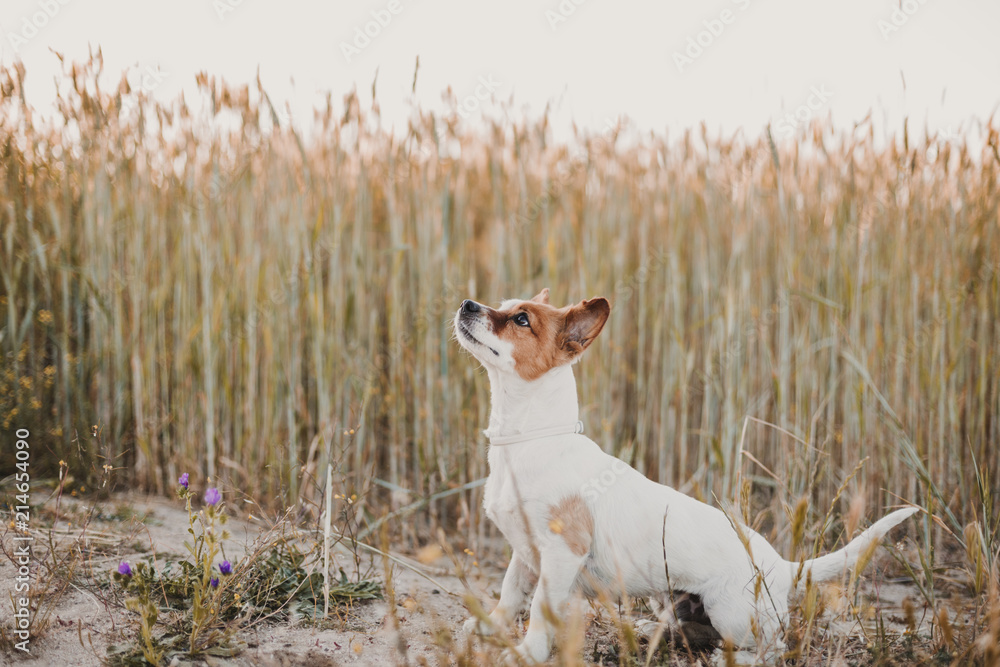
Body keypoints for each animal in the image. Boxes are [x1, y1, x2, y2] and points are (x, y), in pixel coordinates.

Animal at [458, 290, 916, 664]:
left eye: (522, 319)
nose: (467, 304)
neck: (527, 439)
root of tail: (785, 568)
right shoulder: (525, 552)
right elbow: (510, 593)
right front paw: (489, 626)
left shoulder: (560, 553)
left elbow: (539, 608)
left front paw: (526, 652)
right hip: (672, 601)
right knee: (697, 630)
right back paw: (652, 630)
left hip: (730, 612)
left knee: (771, 647)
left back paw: (736, 658)